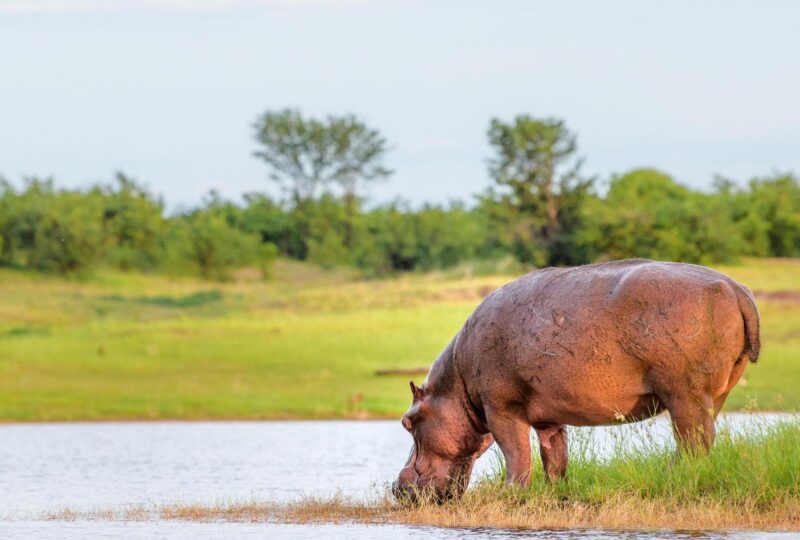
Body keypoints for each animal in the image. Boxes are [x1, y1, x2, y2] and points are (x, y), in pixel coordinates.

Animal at [394, 260, 764, 500]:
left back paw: (673, 480)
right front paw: (556, 491)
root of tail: (737, 289)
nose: (396, 488)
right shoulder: (548, 419)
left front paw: (507, 494)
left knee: (694, 441)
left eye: (406, 422)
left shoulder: (500, 409)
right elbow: (554, 455)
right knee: (701, 437)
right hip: (714, 394)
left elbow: (516, 453)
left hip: (685, 393)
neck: (454, 386)